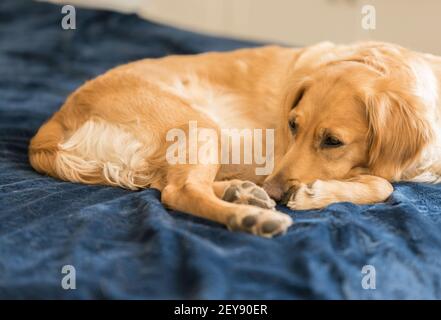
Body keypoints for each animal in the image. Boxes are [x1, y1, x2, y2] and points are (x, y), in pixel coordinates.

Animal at [29, 41, 440, 238]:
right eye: (292, 125)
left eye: (333, 142)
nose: (275, 191)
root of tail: (58, 118)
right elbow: (384, 183)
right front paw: (317, 194)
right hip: (198, 125)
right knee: (178, 191)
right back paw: (248, 215)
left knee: (175, 183)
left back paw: (242, 193)